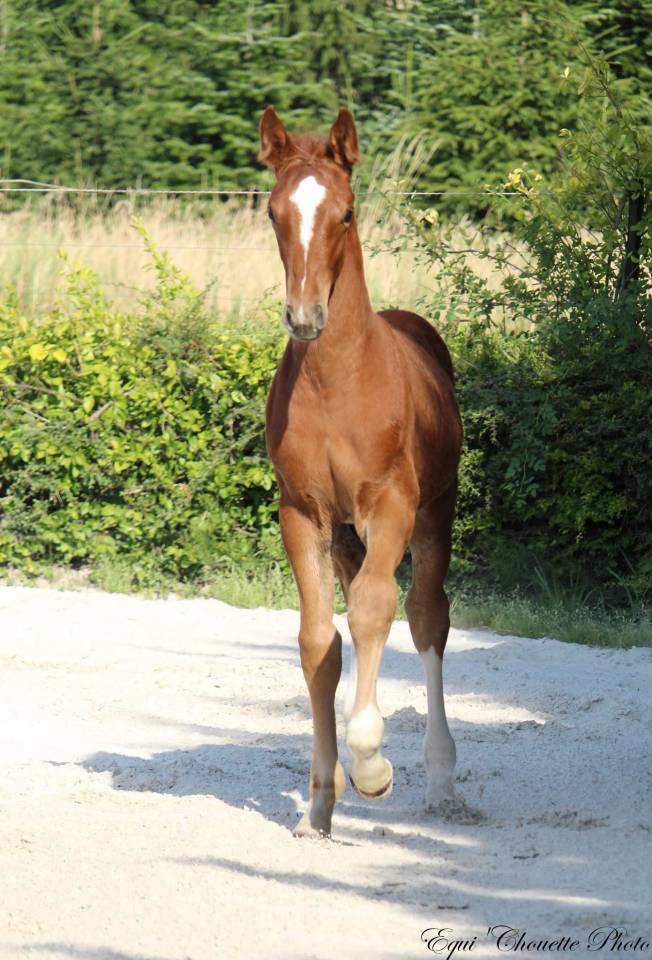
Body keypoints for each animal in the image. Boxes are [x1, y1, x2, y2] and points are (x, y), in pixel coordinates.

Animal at [260, 106, 462, 838]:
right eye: (273, 212)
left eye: (344, 213)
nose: (305, 316)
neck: (335, 382)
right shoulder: (304, 514)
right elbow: (319, 642)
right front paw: (320, 802)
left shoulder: (391, 503)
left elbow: (380, 609)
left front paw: (372, 763)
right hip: (348, 538)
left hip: (434, 515)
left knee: (428, 617)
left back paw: (442, 780)